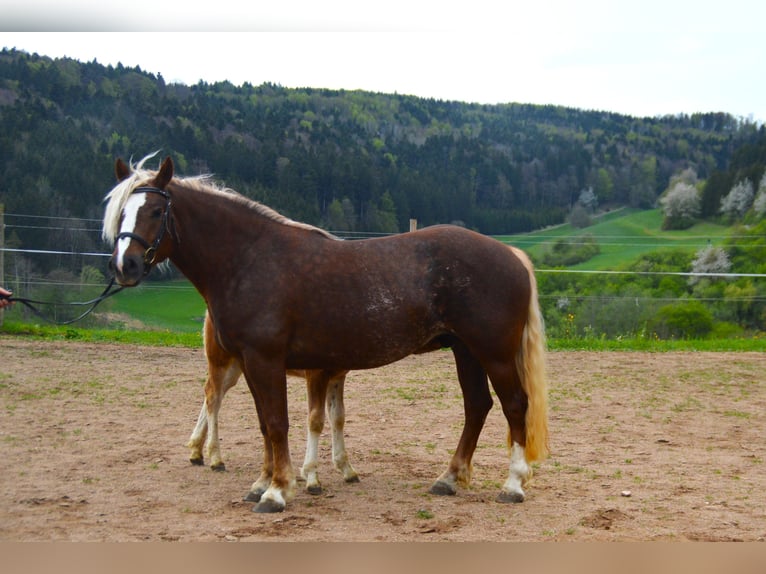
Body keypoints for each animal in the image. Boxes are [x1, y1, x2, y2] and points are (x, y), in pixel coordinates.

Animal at [187, 309, 358, 494]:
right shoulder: (315, 374)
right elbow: (316, 420)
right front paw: (312, 478)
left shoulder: (337, 377)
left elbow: (338, 417)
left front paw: (347, 469)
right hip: (221, 361)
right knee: (213, 396)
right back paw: (216, 459)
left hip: (238, 366)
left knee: (212, 394)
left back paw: (196, 451)